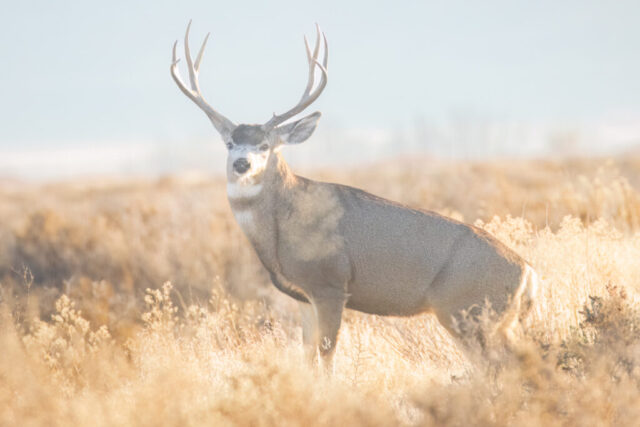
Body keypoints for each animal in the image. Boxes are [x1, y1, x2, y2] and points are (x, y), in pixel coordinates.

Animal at [171, 22, 539, 371]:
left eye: (265, 145)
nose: (241, 163)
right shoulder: (303, 296)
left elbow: (326, 353)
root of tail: (528, 272)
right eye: (230, 143)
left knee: (501, 364)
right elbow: (306, 355)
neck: (282, 225)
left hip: (467, 309)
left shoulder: (331, 283)